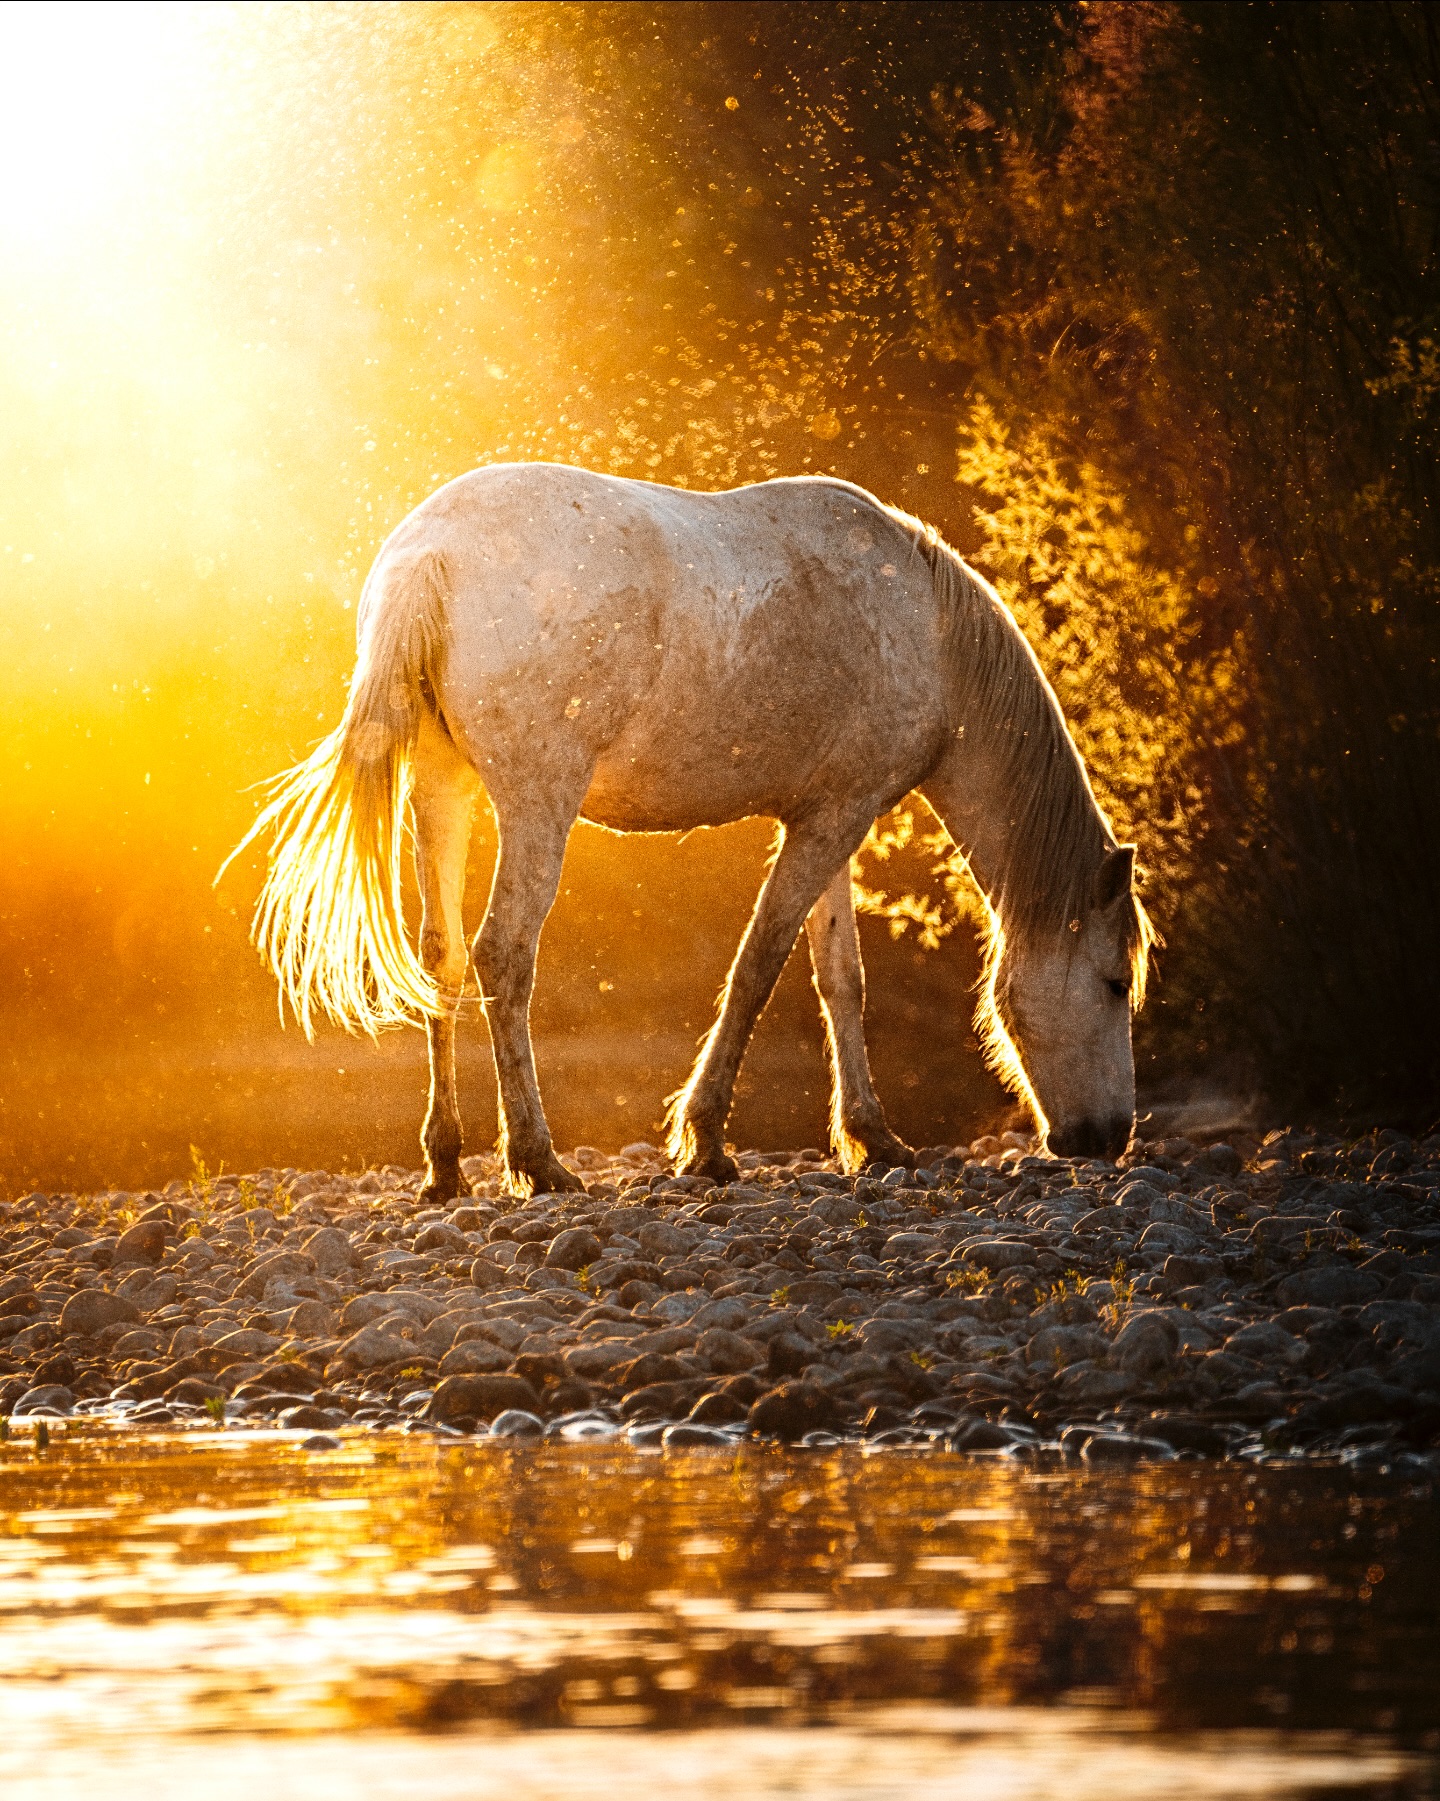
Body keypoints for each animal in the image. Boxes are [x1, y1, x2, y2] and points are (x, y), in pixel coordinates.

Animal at [229, 462, 1154, 1201]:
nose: (1109, 1138)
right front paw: (706, 1142)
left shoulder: (832, 818)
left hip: (441, 786)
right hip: (536, 800)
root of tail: (432, 553)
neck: (924, 626)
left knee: (441, 956)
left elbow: (839, 978)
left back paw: (447, 1164)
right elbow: (758, 966)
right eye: (1115, 982)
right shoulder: (830, 820)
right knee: (504, 954)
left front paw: (872, 1136)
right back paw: (537, 1159)